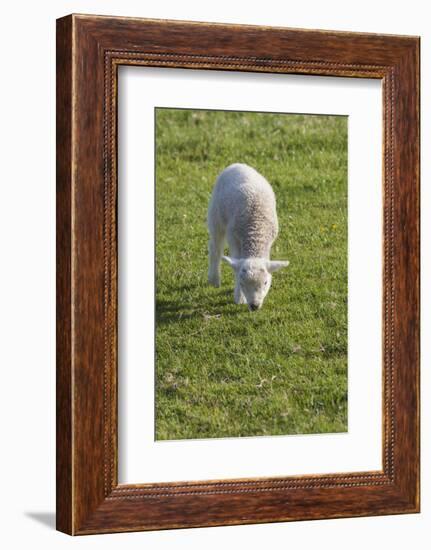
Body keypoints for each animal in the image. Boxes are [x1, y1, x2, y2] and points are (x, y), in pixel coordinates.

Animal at [207, 162, 288, 312]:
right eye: (241, 282)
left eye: (266, 282)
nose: (254, 306)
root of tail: (237, 164)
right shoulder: (233, 238)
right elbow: (236, 265)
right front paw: (239, 298)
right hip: (216, 215)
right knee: (215, 247)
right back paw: (214, 280)